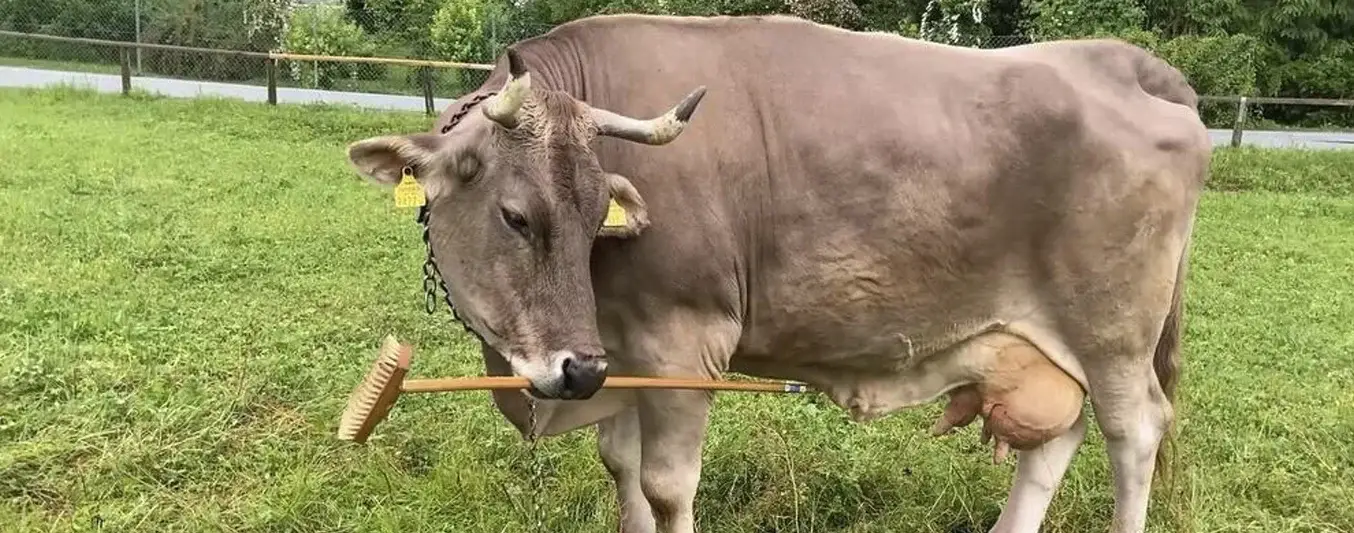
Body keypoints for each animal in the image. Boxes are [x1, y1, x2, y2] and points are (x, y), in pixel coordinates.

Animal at [342, 13, 1209, 533]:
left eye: (595, 217)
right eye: (518, 216)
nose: (574, 368)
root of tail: (1121, 61)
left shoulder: (681, 341)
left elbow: (666, 486)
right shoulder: (620, 354)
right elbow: (621, 467)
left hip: (1113, 333)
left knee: (1134, 432)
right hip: (1045, 342)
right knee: (1057, 436)